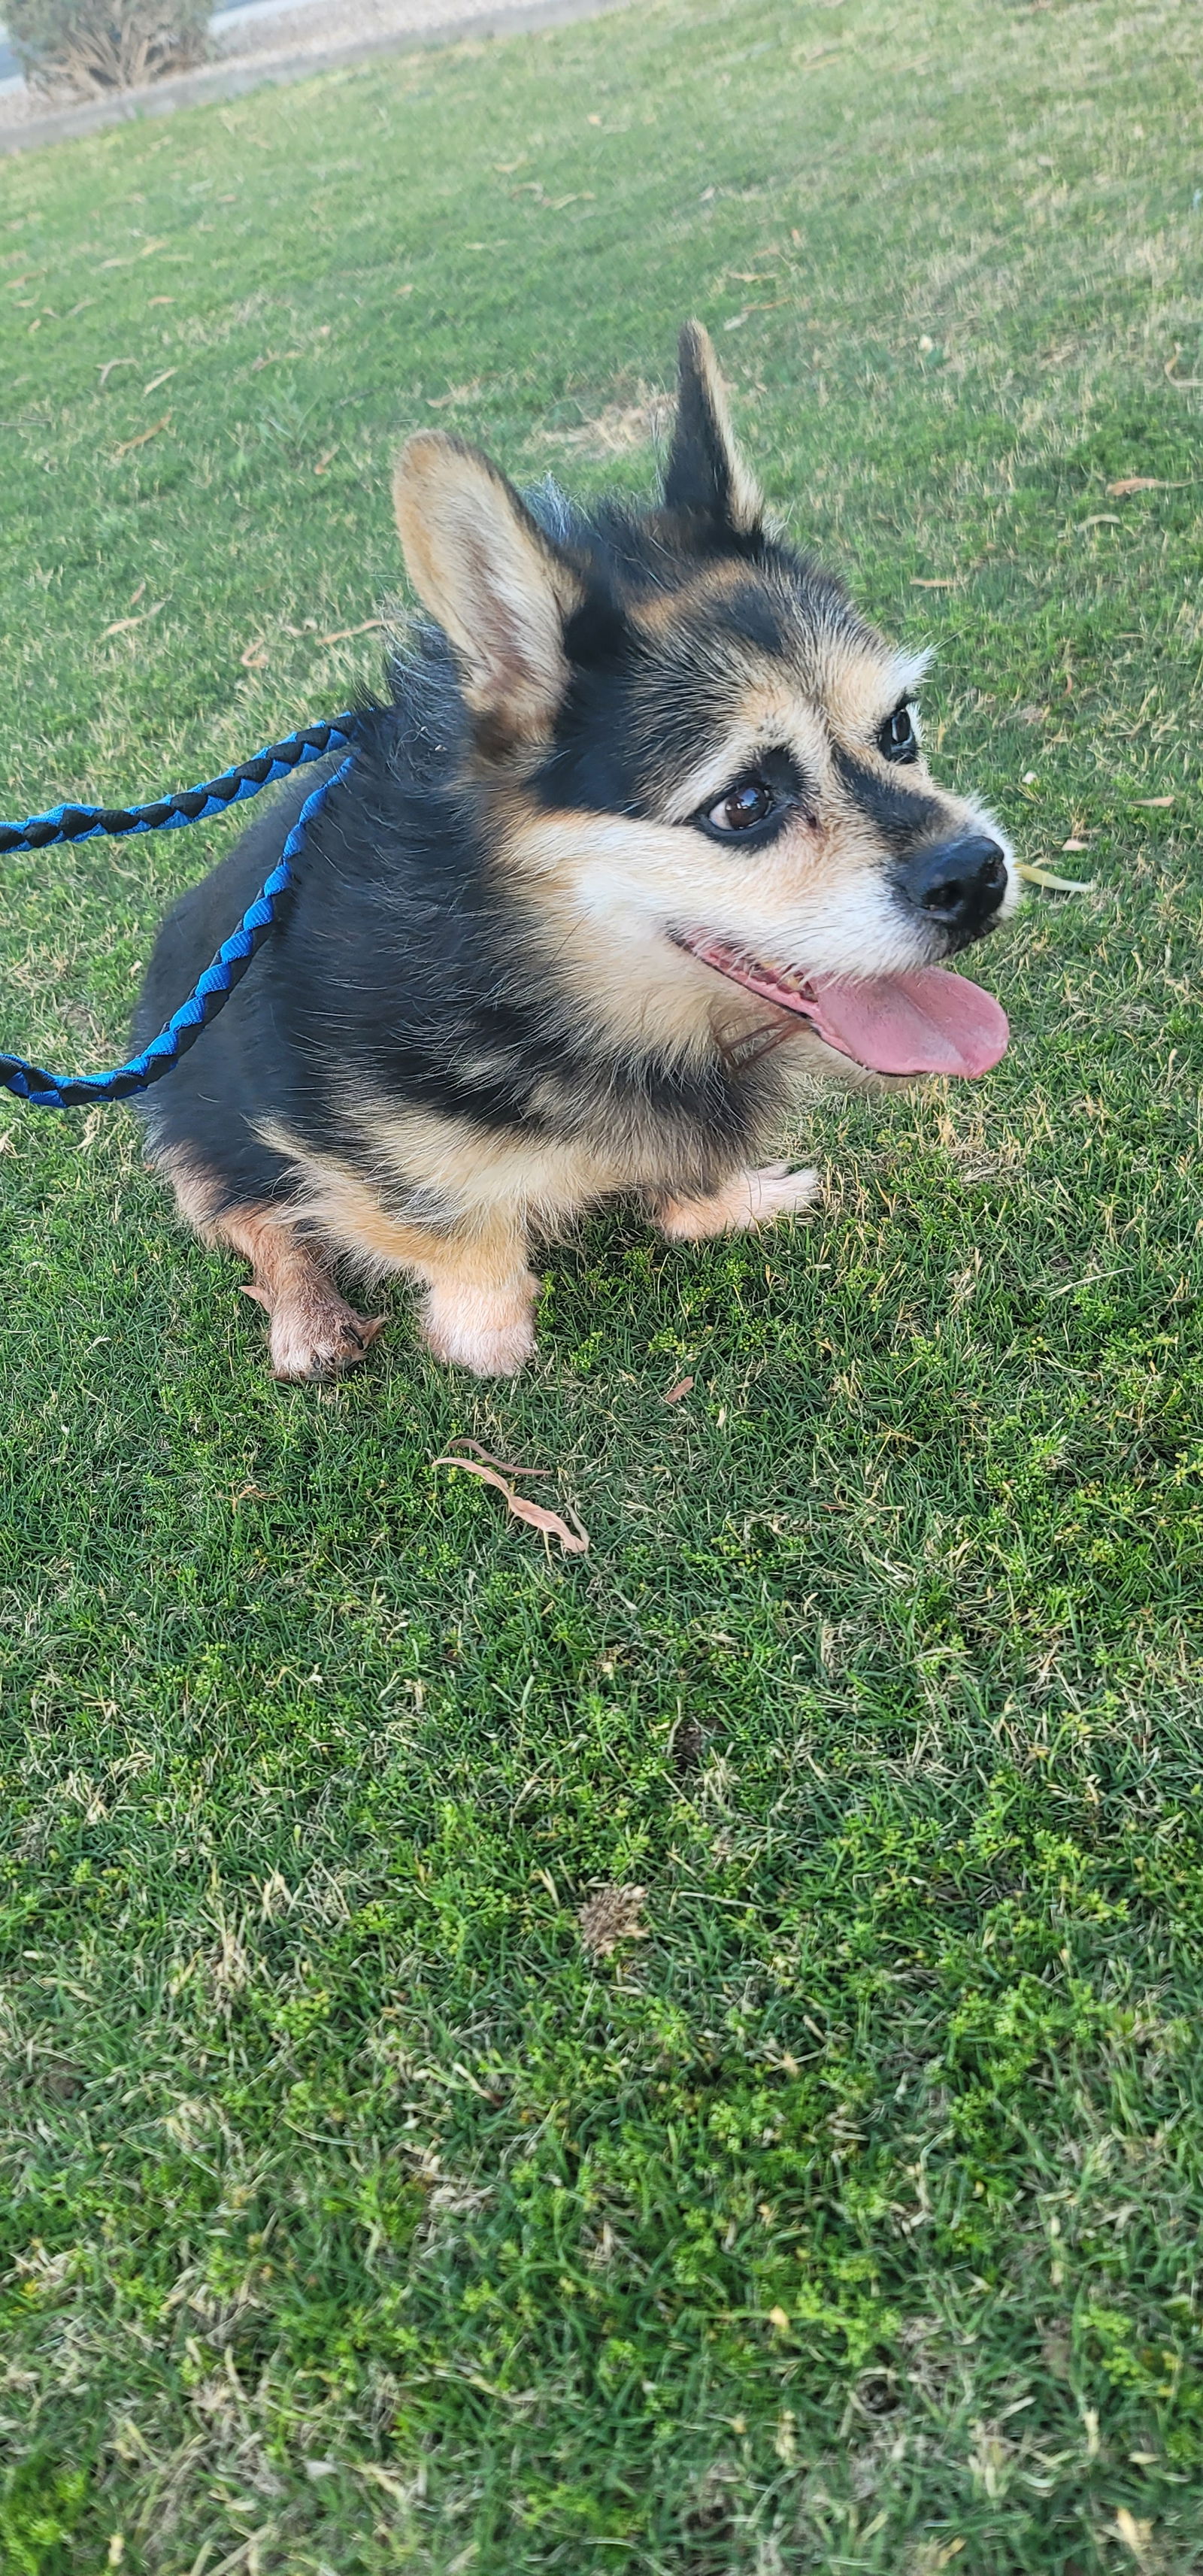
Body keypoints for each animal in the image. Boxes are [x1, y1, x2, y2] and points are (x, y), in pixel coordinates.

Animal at [134, 324, 1014, 1380]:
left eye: (898, 728)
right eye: (743, 803)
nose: (978, 876)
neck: (531, 962)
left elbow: (688, 1174)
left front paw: (730, 1202)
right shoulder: (344, 1138)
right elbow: (454, 1233)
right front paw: (488, 1337)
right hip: (193, 1112)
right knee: (253, 1216)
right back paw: (307, 1315)